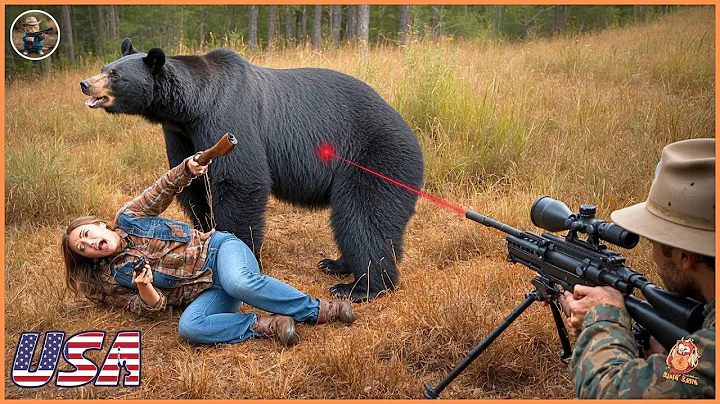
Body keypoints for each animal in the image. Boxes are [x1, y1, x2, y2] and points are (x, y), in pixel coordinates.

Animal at [80, 38, 424, 302]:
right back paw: (336, 264)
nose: (85, 84)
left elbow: (240, 181)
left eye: (114, 74)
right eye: (104, 67)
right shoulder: (180, 135)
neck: (192, 108)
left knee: (363, 216)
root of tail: (412, 137)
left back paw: (361, 287)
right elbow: (195, 189)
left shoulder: (228, 118)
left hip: (375, 158)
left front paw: (239, 253)